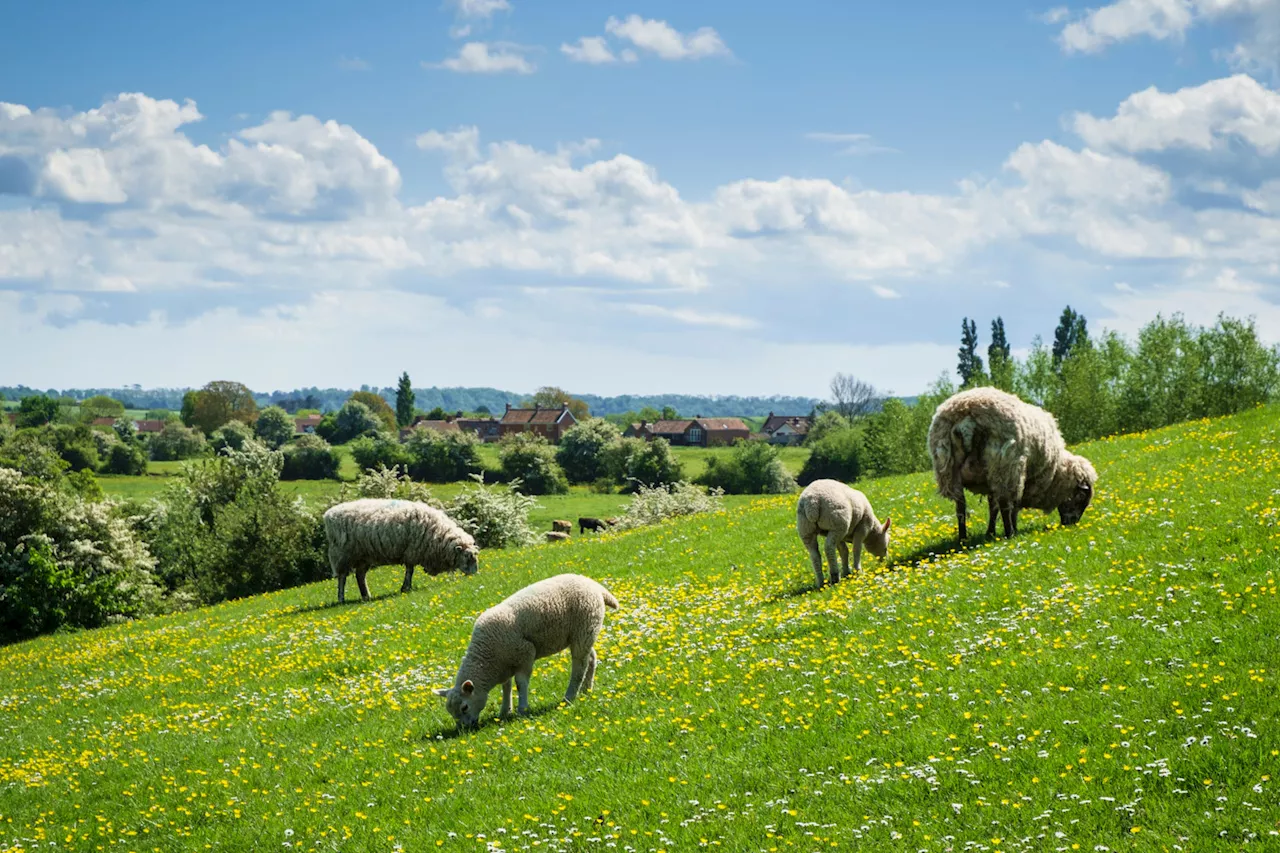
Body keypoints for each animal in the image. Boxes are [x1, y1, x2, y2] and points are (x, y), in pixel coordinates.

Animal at [322, 494, 478, 601]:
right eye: (467, 556)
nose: (475, 575)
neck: (437, 533)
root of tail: (328, 514)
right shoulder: (412, 551)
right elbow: (410, 570)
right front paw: (406, 588)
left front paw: (405, 587)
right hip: (342, 554)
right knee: (342, 577)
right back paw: (341, 598)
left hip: (363, 556)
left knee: (360, 575)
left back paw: (366, 596)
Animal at [435, 568, 619, 727]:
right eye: (451, 712)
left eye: (464, 707)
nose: (464, 729)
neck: (487, 658)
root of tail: (594, 585)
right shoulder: (505, 663)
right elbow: (506, 686)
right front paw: (504, 711)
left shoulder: (524, 654)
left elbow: (520, 683)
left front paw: (522, 709)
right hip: (583, 634)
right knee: (590, 658)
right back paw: (586, 690)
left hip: (584, 628)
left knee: (579, 666)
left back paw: (569, 696)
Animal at [931, 384, 1100, 537]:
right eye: (1081, 498)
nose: (1072, 524)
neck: (1056, 473)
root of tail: (967, 416)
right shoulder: (1024, 479)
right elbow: (1013, 506)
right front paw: (1013, 527)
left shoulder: (991, 478)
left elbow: (993, 506)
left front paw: (990, 532)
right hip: (1005, 466)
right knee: (1005, 503)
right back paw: (1009, 533)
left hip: (950, 470)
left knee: (960, 506)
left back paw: (963, 538)